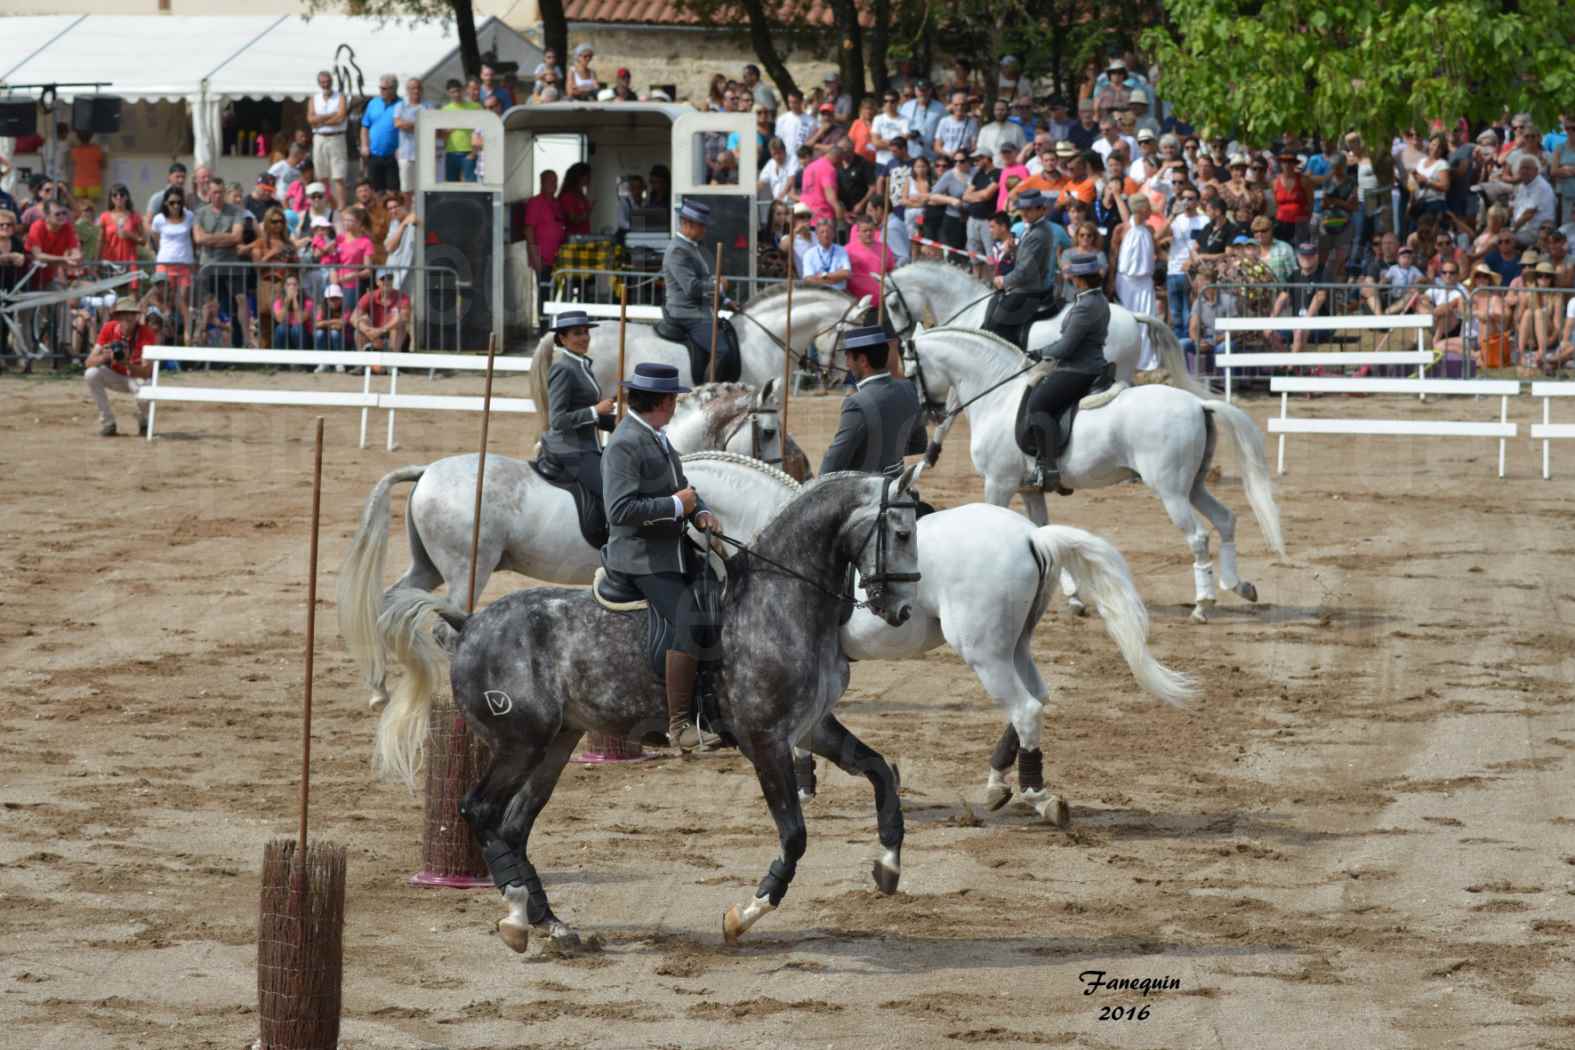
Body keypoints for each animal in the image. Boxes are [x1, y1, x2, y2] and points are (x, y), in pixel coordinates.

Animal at [371, 469, 919, 950]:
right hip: (519, 742)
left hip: (556, 743)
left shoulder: (809, 728)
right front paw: (744, 915)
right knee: (480, 811)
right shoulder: (764, 740)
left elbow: (880, 773)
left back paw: (555, 926)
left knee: (514, 826)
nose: (902, 612)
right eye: (902, 532)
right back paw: (516, 914)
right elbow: (794, 835)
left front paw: (888, 866)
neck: (781, 598)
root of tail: (468, 624)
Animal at [680, 453, 1190, 818]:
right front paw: (808, 783)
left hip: (984, 653)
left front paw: (803, 788)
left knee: (1025, 707)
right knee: (1036, 699)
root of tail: (1032, 536)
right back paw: (997, 784)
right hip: (1014, 645)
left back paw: (1036, 795)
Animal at [913, 329, 1278, 623]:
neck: (998, 397)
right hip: (1194, 486)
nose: (931, 415)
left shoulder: (998, 484)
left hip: (1171, 491)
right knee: (1225, 519)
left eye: (911, 368)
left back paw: (1203, 604)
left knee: (1198, 537)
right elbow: (1045, 535)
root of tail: (1197, 404)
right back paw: (1240, 586)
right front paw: (1074, 600)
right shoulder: (1031, 490)